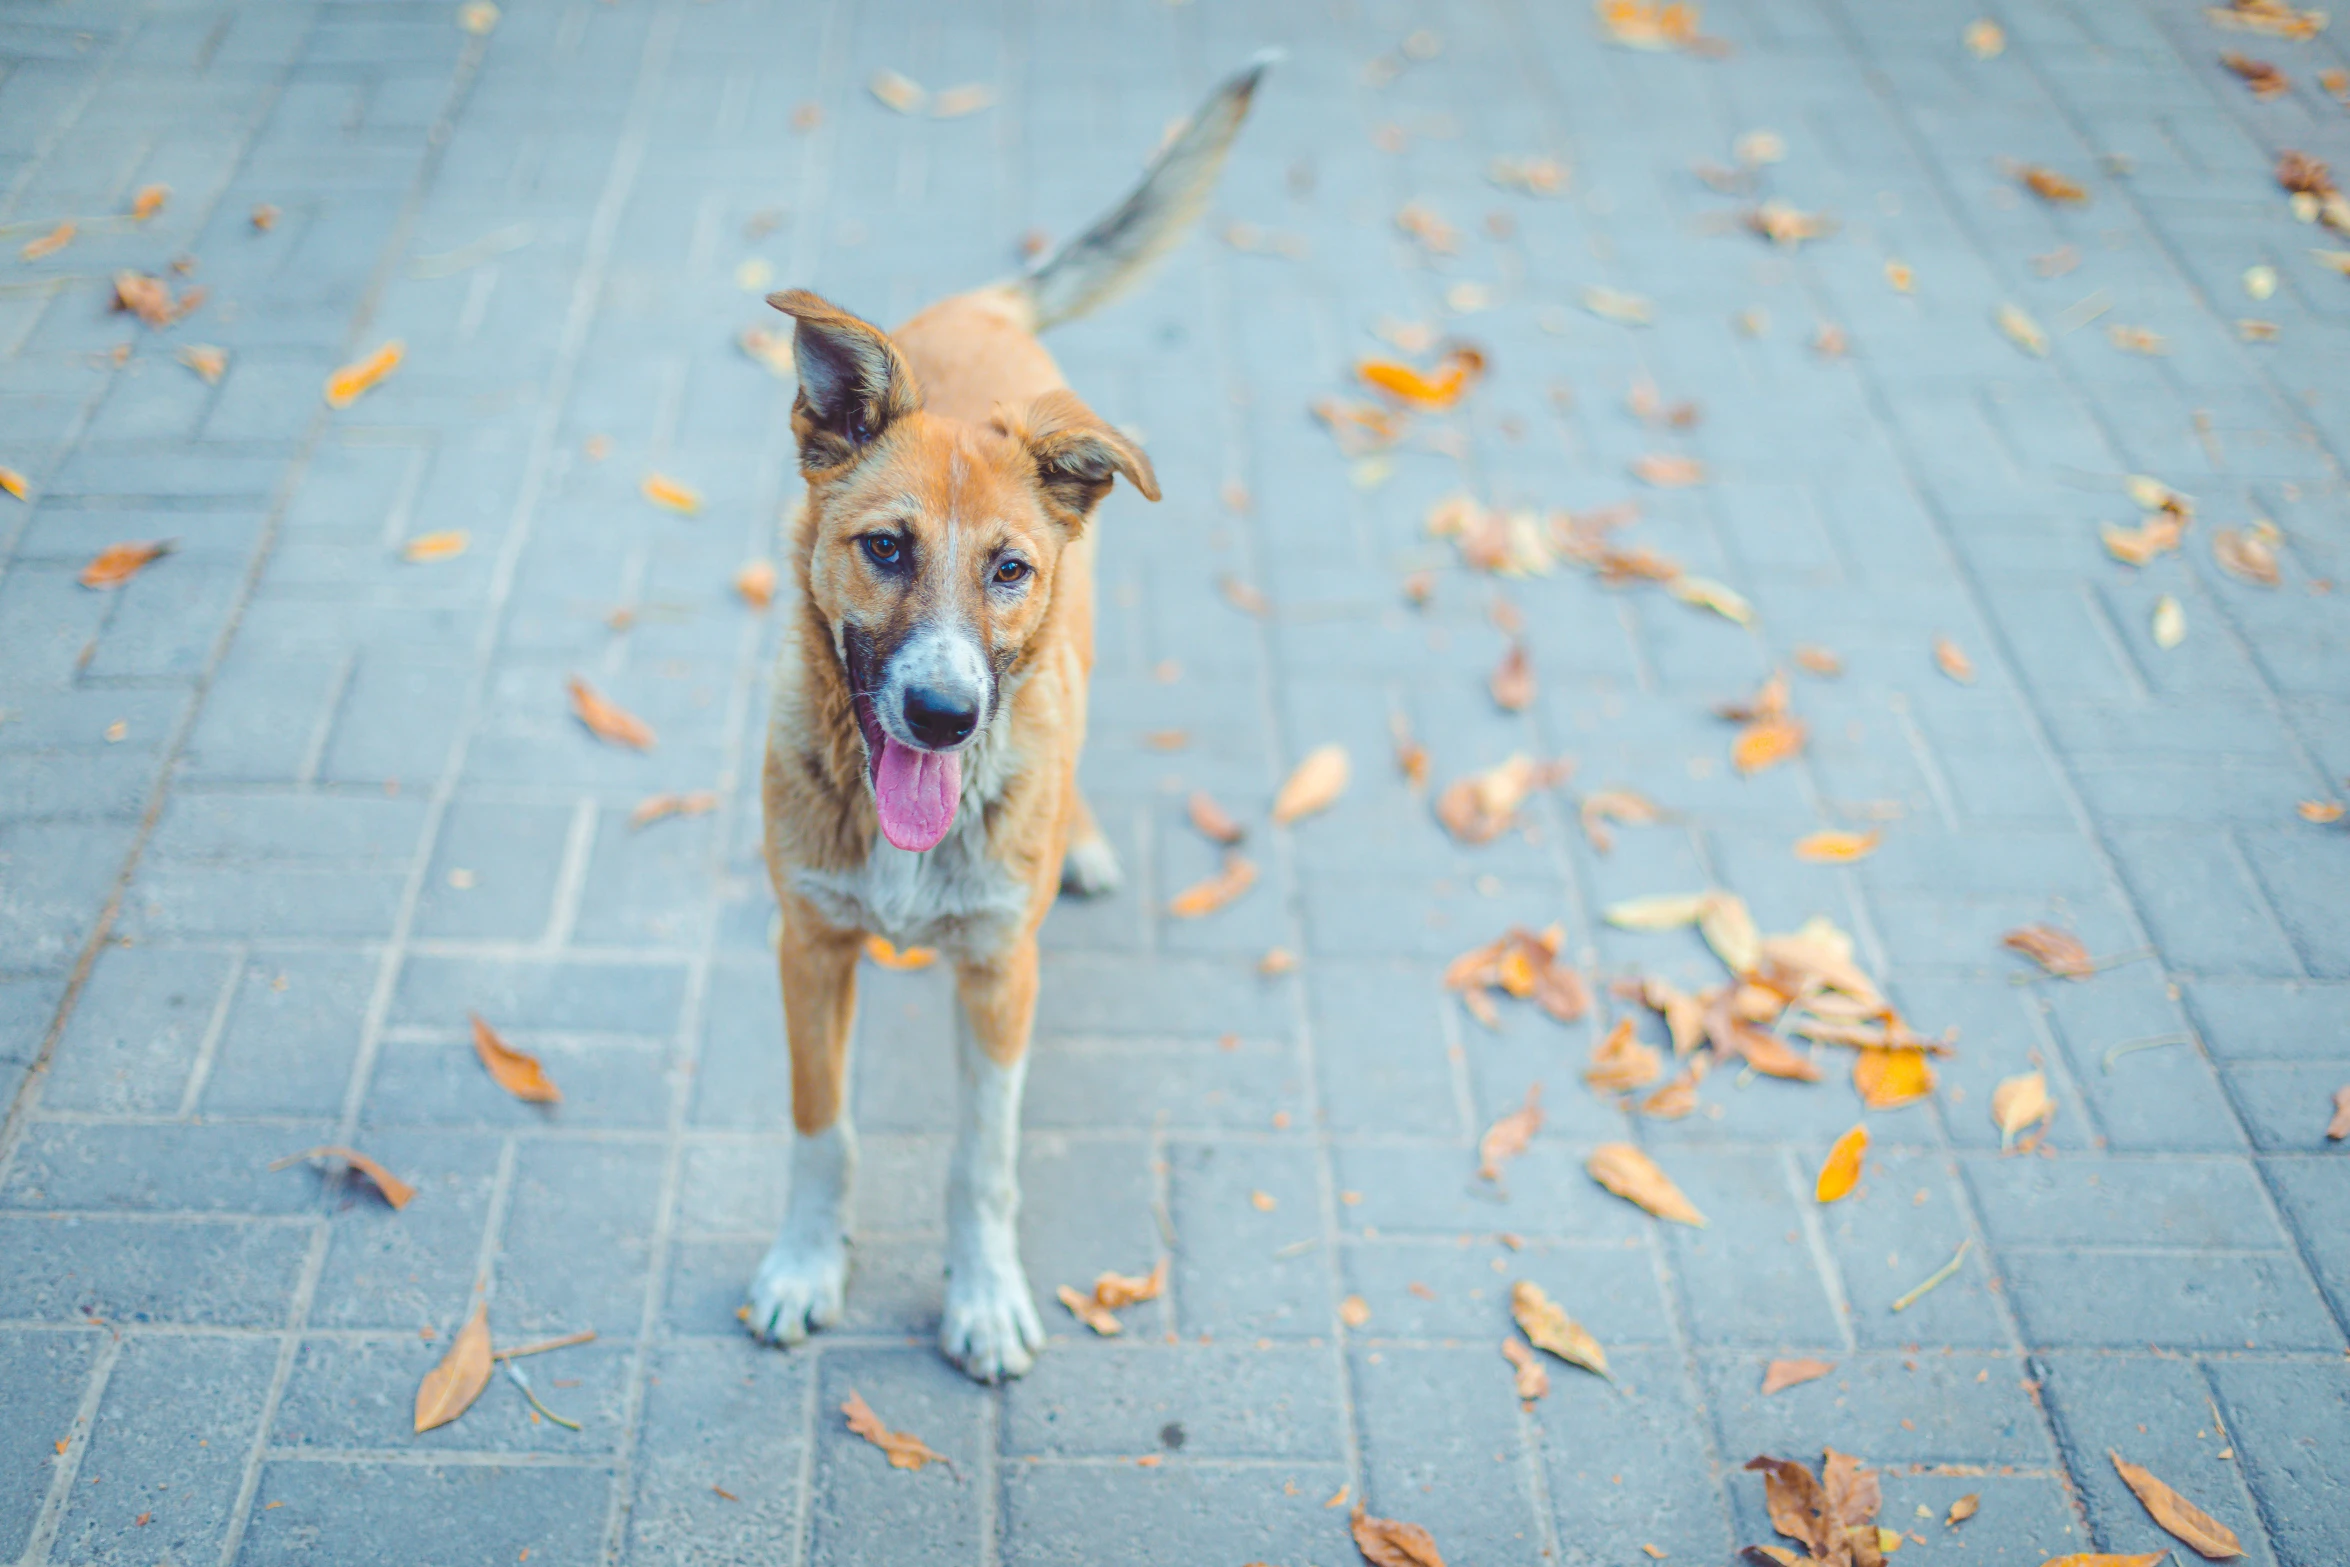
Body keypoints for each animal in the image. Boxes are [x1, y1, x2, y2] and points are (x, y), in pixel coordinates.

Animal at [747, 55, 1269, 1381]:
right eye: (884, 548)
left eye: (1007, 569)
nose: (941, 715)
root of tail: (983, 313)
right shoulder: (808, 946)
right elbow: (820, 1129)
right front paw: (805, 1266)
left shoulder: (999, 976)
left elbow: (979, 1164)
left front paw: (982, 1297)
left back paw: (1073, 840)